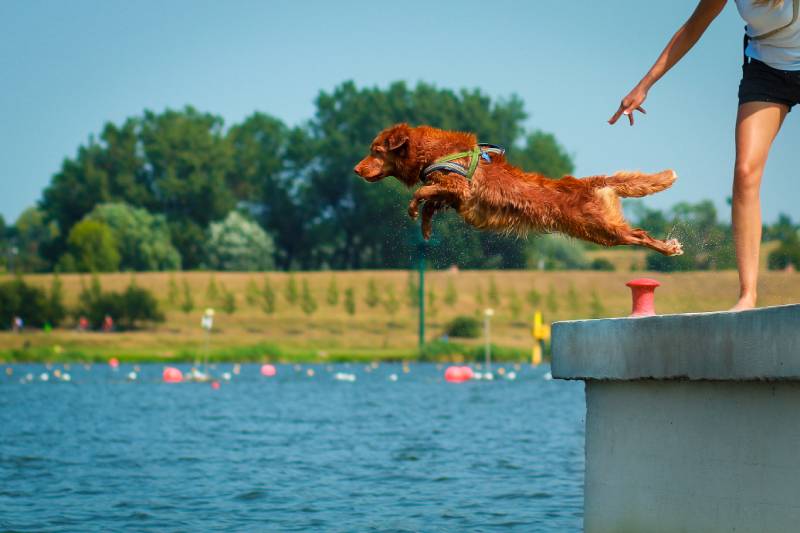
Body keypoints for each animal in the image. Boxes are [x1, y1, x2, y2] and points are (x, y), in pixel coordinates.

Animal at [354, 123, 680, 256]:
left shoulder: (457, 185)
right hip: (598, 231)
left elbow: (421, 193)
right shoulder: (450, 193)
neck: (431, 151)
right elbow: (430, 201)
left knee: (639, 235)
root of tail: (593, 181)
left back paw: (668, 247)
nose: (356, 169)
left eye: (376, 151)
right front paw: (425, 228)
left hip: (602, 229)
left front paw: (412, 209)